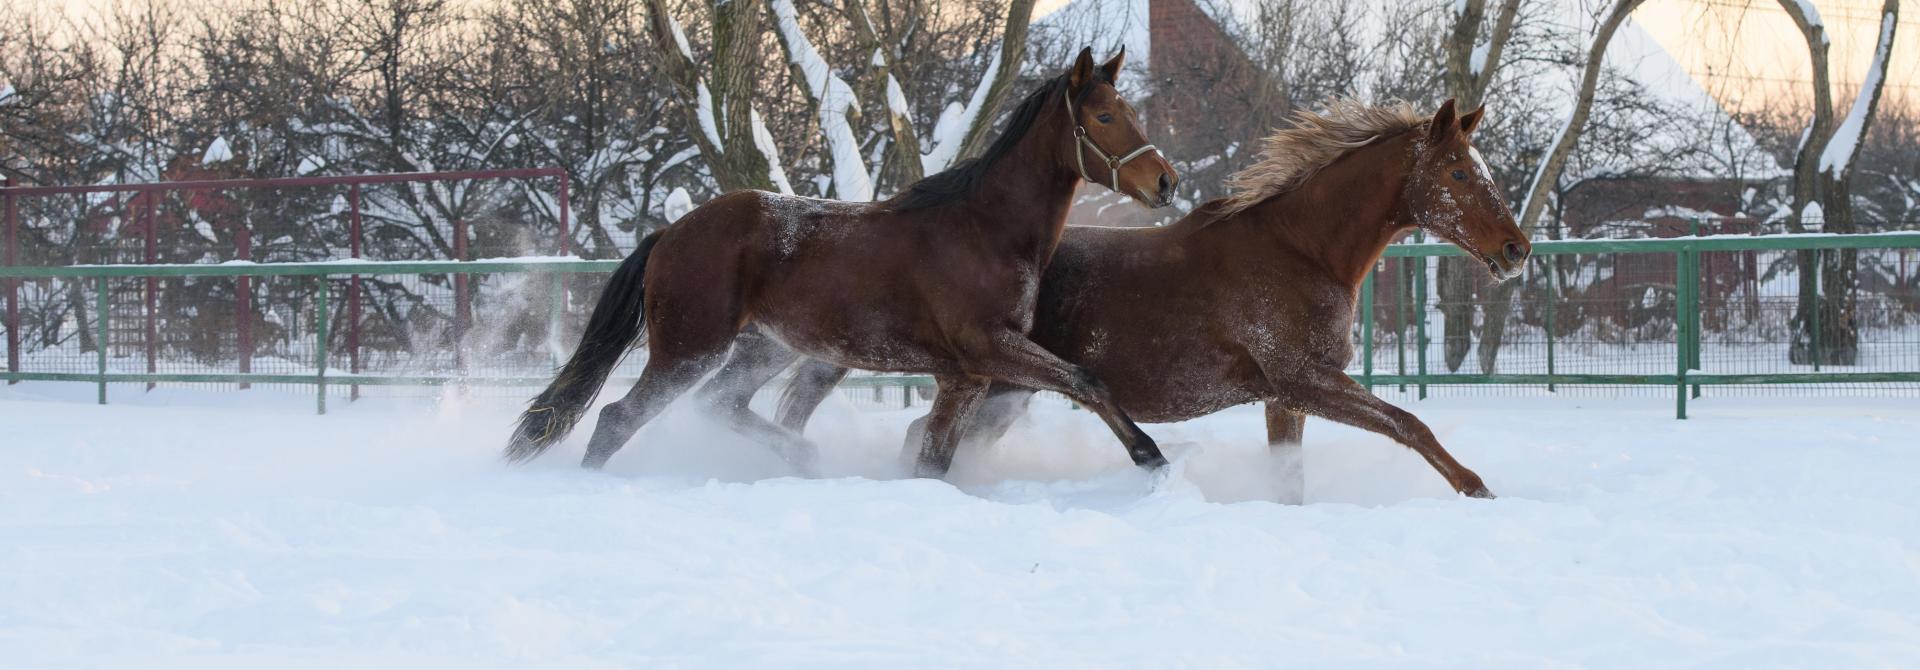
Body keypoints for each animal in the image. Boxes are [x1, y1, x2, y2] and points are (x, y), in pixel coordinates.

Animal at [503, 48, 1180, 477]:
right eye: (1103, 116)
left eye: (1131, 112)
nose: (1166, 182)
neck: (985, 230)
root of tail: (670, 233)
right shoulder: (987, 349)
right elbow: (1086, 380)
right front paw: (1151, 457)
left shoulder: (963, 376)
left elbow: (934, 460)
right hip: (688, 350)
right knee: (618, 418)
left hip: (765, 348)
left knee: (719, 405)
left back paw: (803, 460)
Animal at [760, 98, 1528, 498]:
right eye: (1459, 172)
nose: (1517, 250)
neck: (1300, 250)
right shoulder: (1304, 379)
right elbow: (1410, 425)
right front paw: (1479, 490)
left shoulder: (1286, 396)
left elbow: (1293, 474)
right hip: (1000, 381)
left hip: (1003, 387)